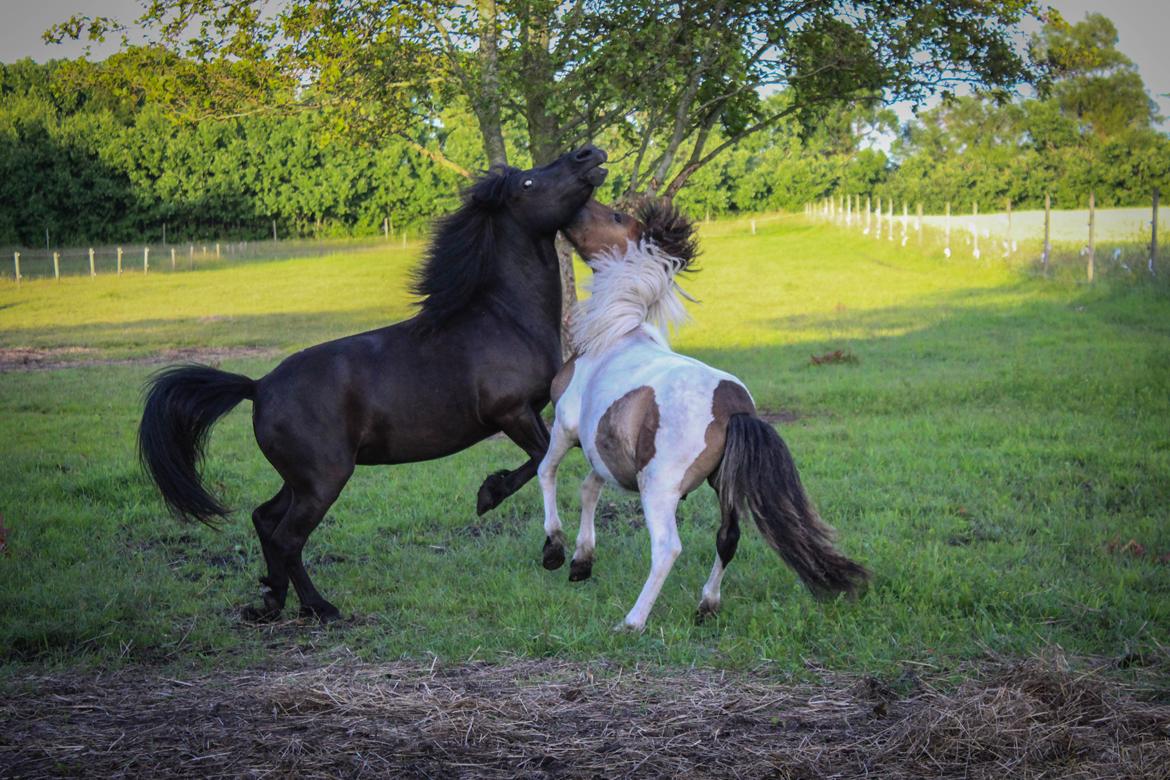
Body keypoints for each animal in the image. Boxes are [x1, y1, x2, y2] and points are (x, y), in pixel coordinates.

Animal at [139, 145, 603, 622]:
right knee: (287, 537)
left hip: (302, 479)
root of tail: (258, 386)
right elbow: (542, 459)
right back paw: (319, 607)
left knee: (265, 520)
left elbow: (548, 458)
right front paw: (496, 502)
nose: (588, 154)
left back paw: (272, 599)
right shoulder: (510, 411)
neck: (506, 319)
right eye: (527, 183)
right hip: (324, 479)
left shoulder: (530, 412)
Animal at [540, 198, 870, 631]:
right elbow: (589, 490)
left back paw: (632, 621)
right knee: (728, 538)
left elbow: (548, 474)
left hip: (658, 489)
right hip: (723, 485)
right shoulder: (607, 454)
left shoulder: (565, 429)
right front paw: (581, 561)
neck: (616, 335)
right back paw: (707, 605)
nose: (573, 208)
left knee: (667, 548)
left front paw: (554, 549)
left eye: (615, 215)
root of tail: (734, 408)